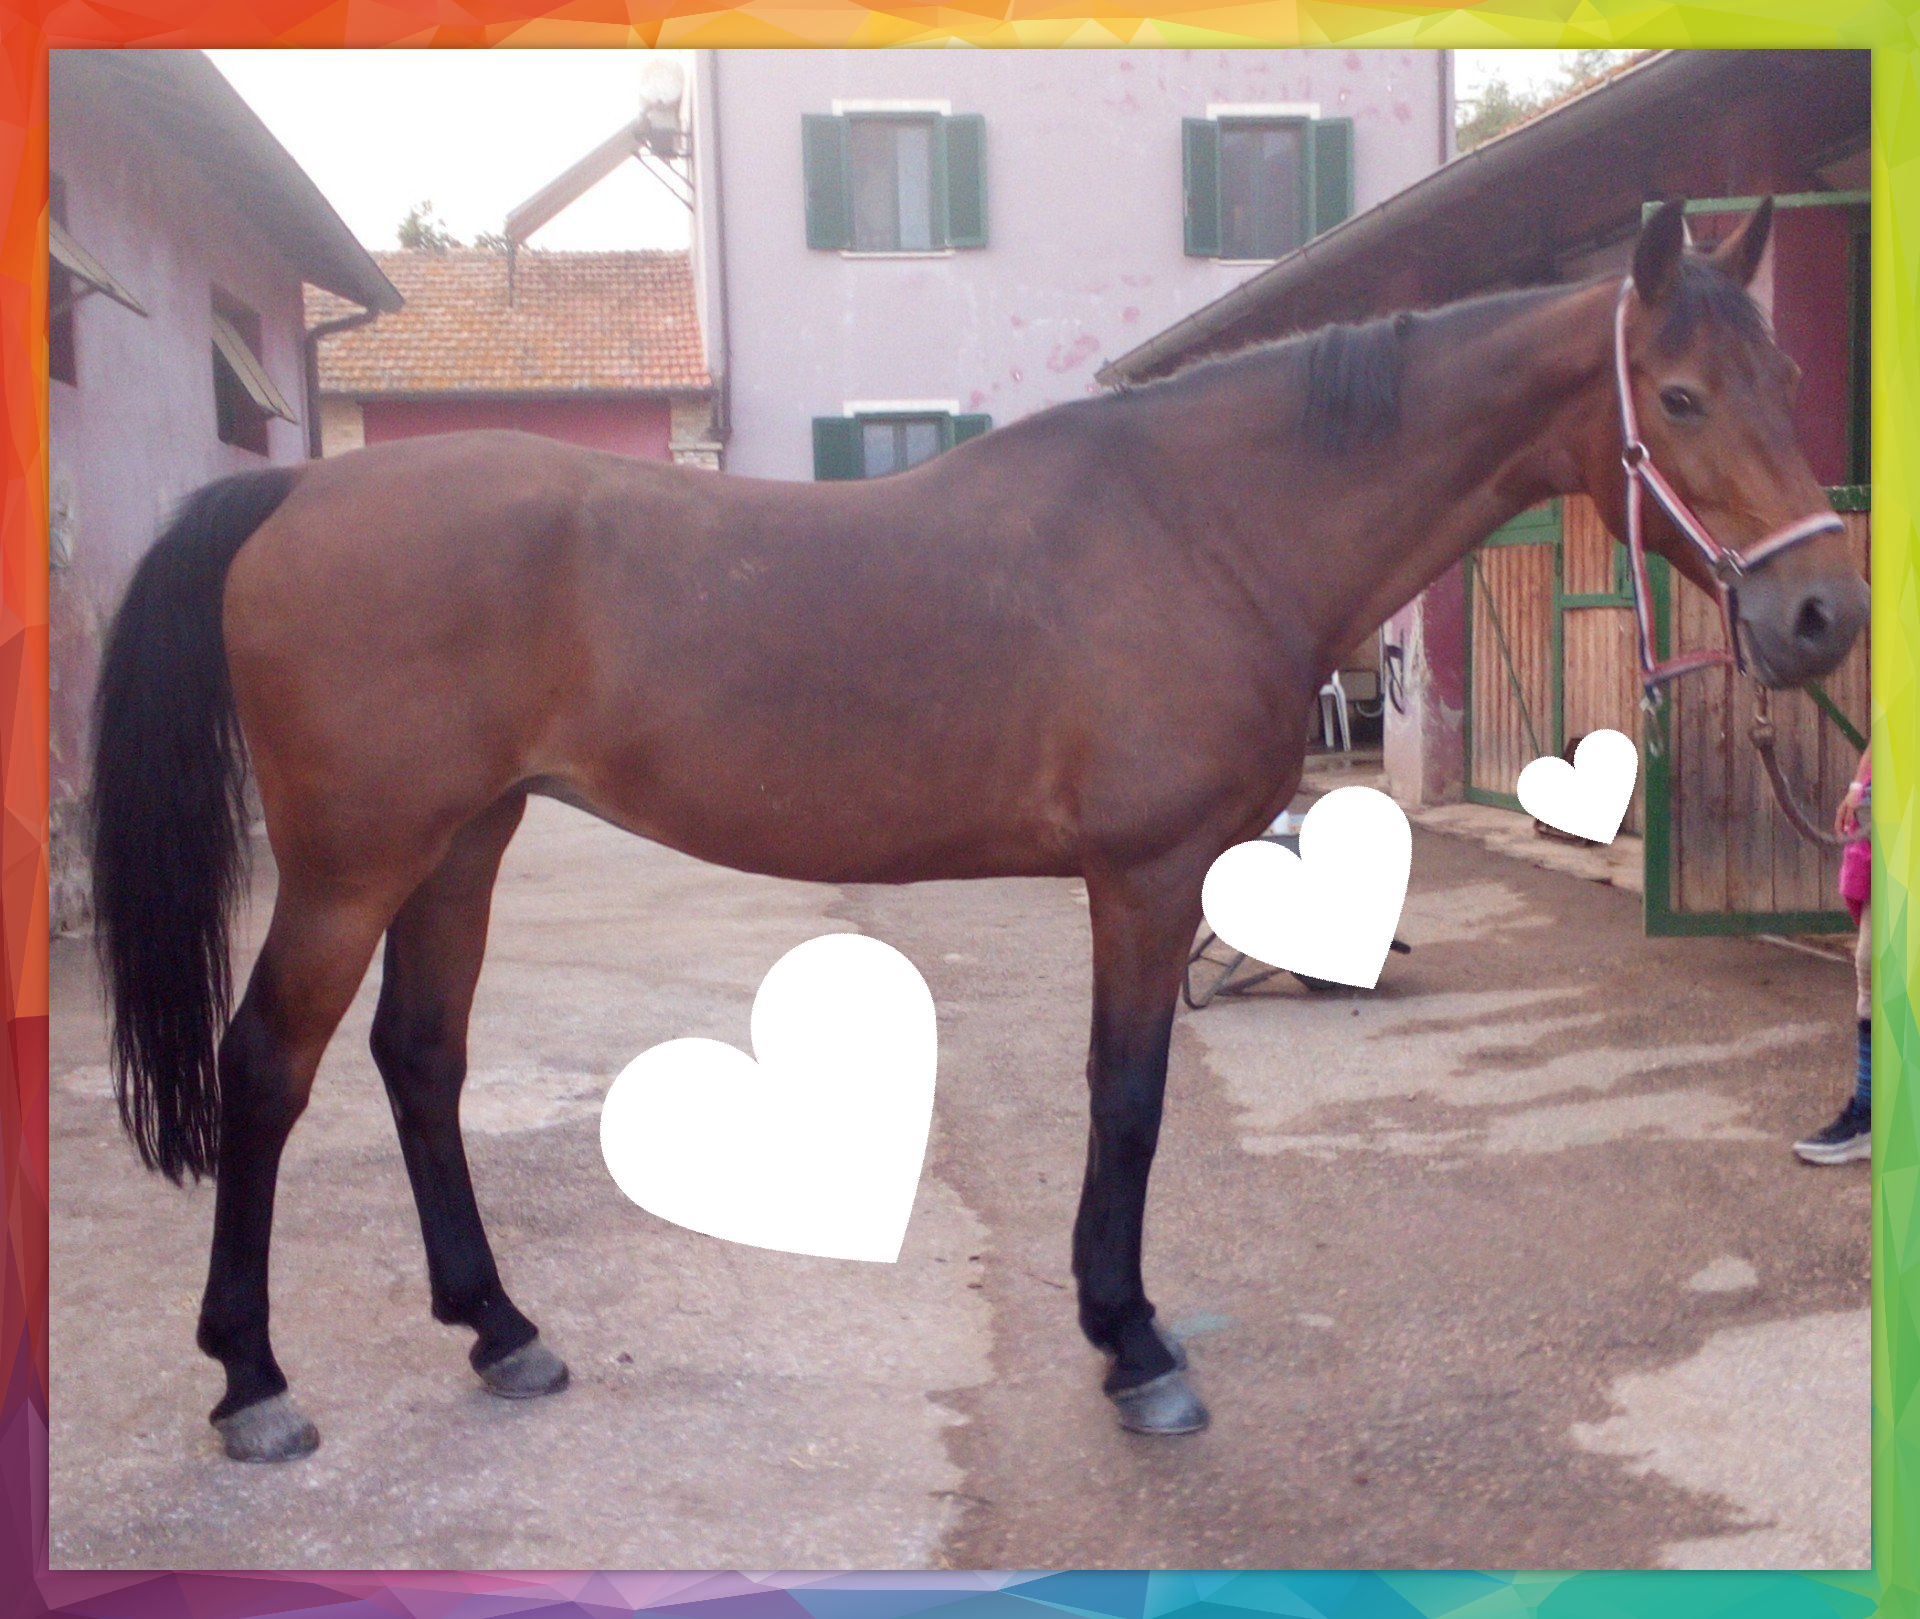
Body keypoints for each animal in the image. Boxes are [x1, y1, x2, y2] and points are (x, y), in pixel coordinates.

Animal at [90, 198, 1867, 1462]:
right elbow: (1129, 1101)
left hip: (463, 841)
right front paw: (1134, 1346)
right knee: (268, 1069)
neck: (1208, 521)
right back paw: (253, 1379)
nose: (1821, 613)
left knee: (421, 1058)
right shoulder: (1145, 878)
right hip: (356, 860)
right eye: (1682, 394)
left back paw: (501, 1327)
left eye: (1786, 377)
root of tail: (299, 493)